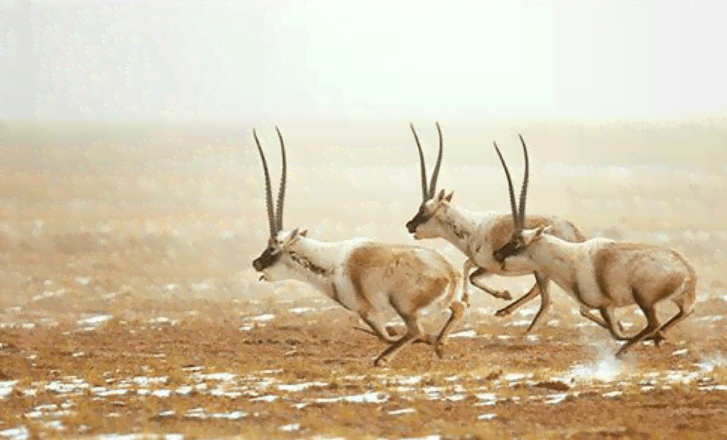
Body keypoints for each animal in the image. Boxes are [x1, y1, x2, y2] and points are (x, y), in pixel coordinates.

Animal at [250, 125, 466, 366]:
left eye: (273, 247)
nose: (256, 263)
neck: (332, 261)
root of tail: (450, 273)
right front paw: (434, 341)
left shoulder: (366, 311)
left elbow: (384, 335)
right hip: (443, 302)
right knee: (459, 309)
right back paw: (439, 344)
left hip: (404, 307)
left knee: (415, 330)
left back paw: (383, 359)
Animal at [406, 122, 588, 332]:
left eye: (424, 212)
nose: (409, 225)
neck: (473, 227)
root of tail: (576, 233)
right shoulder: (482, 262)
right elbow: (467, 266)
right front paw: (480, 298)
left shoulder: (494, 266)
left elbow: (471, 274)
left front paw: (499, 295)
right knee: (536, 290)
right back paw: (504, 311)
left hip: (543, 270)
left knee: (541, 294)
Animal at [492, 137, 696, 358]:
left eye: (517, 243)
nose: (497, 254)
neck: (569, 257)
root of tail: (686, 270)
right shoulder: (598, 307)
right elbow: (595, 319)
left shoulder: (605, 306)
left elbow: (616, 333)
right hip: (677, 300)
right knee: (684, 312)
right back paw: (658, 338)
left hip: (645, 300)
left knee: (654, 323)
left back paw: (628, 350)